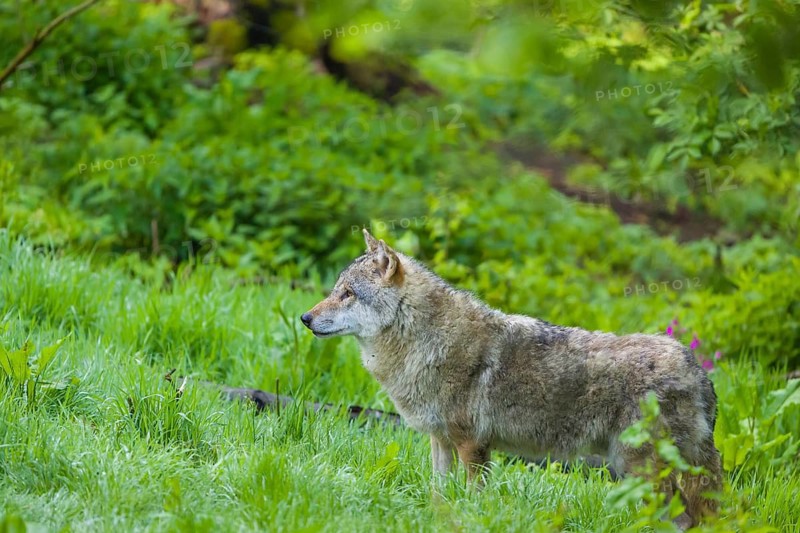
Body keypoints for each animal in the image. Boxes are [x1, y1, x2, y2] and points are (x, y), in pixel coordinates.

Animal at [301, 229, 722, 528]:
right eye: (335, 290)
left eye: (348, 294)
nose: (304, 318)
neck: (424, 343)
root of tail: (696, 367)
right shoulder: (440, 440)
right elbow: (439, 493)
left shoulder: (473, 445)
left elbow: (473, 498)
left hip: (640, 471)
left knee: (681, 518)